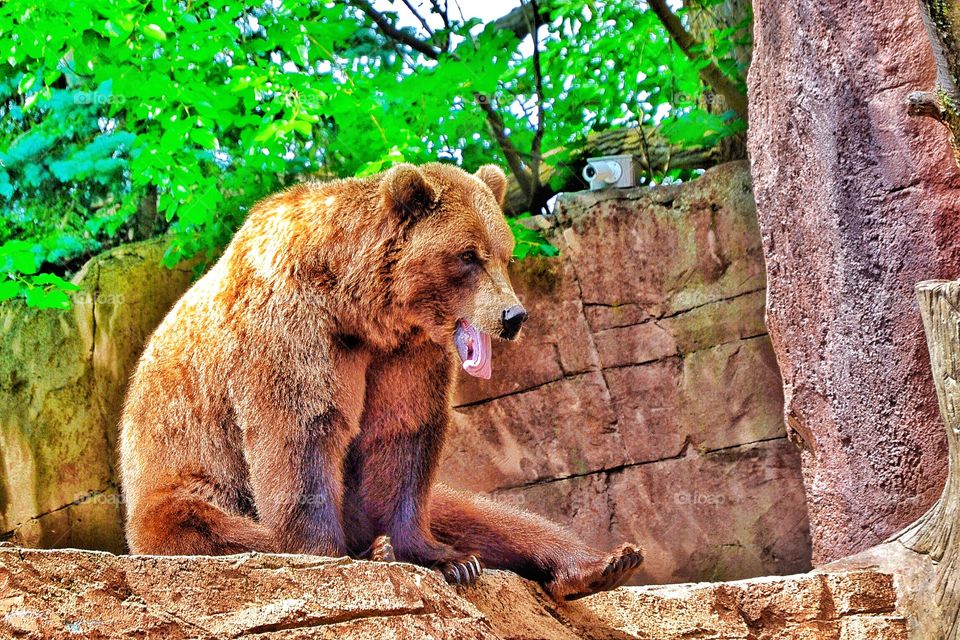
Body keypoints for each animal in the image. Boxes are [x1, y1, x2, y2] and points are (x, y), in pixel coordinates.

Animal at [118, 162, 643, 600]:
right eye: (468, 256)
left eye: (505, 256)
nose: (513, 316)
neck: (357, 307)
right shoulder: (292, 330)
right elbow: (301, 433)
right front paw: (331, 553)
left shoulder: (404, 354)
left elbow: (402, 436)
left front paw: (447, 560)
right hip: (180, 483)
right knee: (197, 523)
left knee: (493, 518)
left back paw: (604, 563)